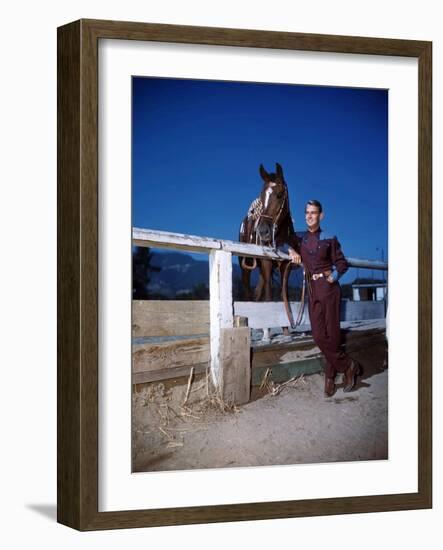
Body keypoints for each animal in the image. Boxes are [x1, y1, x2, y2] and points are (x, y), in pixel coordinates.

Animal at [238, 164, 296, 310]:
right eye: (262, 196)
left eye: (280, 195)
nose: (263, 231)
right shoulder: (266, 264)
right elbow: (268, 296)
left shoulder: (285, 266)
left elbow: (283, 295)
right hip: (245, 268)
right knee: (247, 290)